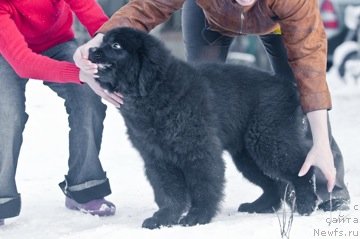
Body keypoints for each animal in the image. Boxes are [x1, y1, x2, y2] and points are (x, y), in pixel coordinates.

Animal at [88, 27, 320, 229]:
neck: (155, 92)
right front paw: (164, 218)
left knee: (301, 167)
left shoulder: (199, 150)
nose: (90, 50)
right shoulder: (157, 157)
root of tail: (288, 87)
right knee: (274, 184)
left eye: (116, 45)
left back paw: (307, 203)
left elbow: (203, 185)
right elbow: (168, 191)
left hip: (269, 141)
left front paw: (197, 216)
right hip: (247, 155)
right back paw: (259, 206)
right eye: (103, 42)